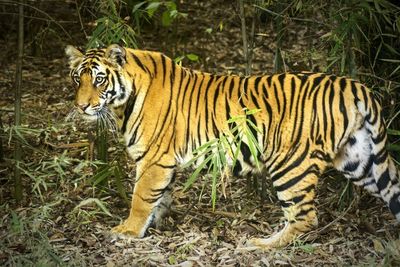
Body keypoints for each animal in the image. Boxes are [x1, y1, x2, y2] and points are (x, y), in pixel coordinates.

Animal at [65, 44, 400, 251]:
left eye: (98, 79)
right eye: (76, 79)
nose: (81, 107)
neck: (123, 101)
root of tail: (355, 86)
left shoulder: (154, 160)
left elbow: (141, 198)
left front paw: (128, 231)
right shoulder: (164, 163)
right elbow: (161, 198)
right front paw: (156, 226)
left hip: (291, 163)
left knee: (304, 216)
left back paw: (261, 245)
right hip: (360, 159)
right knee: (393, 189)